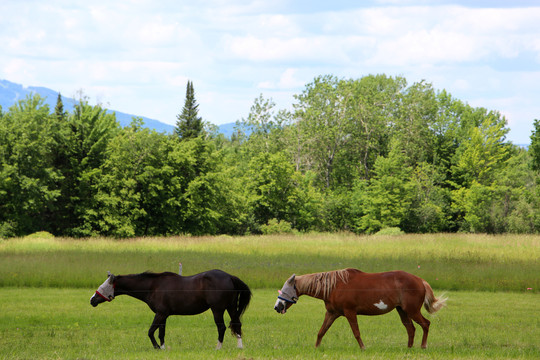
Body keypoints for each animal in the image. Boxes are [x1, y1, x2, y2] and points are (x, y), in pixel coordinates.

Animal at [92, 270, 252, 348]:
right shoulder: (164, 315)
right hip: (231, 308)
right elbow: (161, 334)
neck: (153, 287)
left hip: (217, 310)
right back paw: (240, 347)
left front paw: (156, 347)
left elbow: (151, 332)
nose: (92, 300)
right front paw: (162, 348)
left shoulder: (160, 314)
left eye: (104, 286)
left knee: (222, 327)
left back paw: (218, 347)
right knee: (237, 324)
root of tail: (229, 277)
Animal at [274, 268, 448, 348]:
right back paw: (409, 348)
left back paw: (423, 346)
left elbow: (356, 333)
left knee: (425, 324)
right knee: (411, 329)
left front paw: (363, 348)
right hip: (403, 311)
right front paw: (316, 348)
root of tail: (420, 280)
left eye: (285, 290)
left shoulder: (350, 313)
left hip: (412, 311)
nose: (277, 307)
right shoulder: (332, 313)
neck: (334, 286)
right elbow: (321, 331)